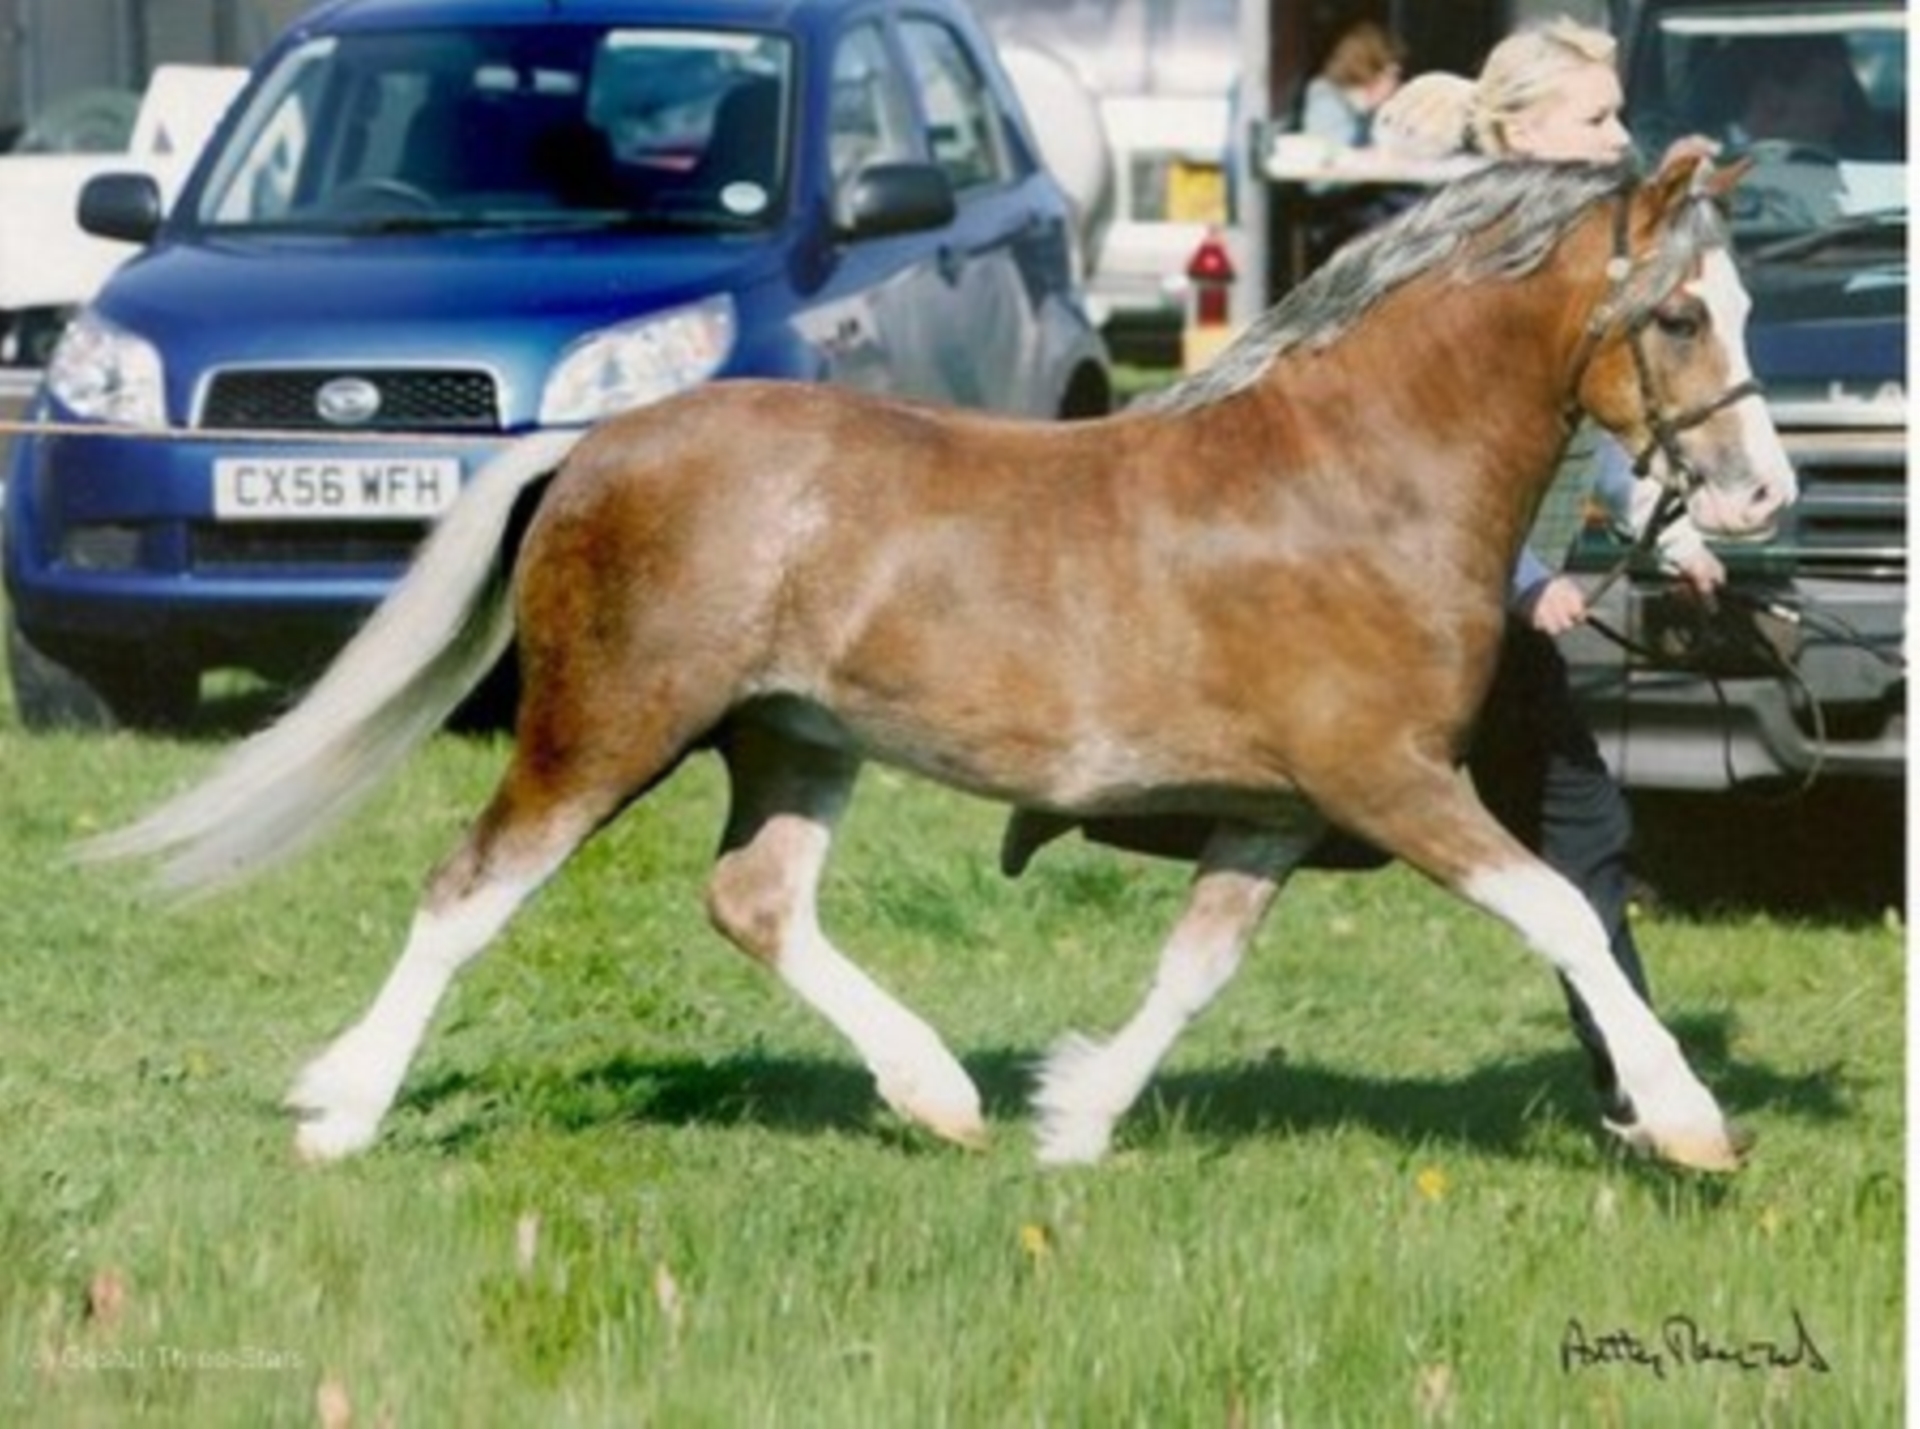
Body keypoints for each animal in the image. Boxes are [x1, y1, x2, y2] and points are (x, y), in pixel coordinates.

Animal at [93, 153, 1797, 1175]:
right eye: (1685, 314)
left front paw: (1076, 1114)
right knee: (470, 889)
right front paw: (1689, 1118)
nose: (1763, 495)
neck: (1352, 480)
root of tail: (600, 443)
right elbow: (1563, 909)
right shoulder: (1387, 779)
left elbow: (1195, 967)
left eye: (1741, 303)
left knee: (756, 901)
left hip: (797, 738)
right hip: (608, 726)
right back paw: (341, 1109)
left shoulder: (1277, 811)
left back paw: (936, 1092)